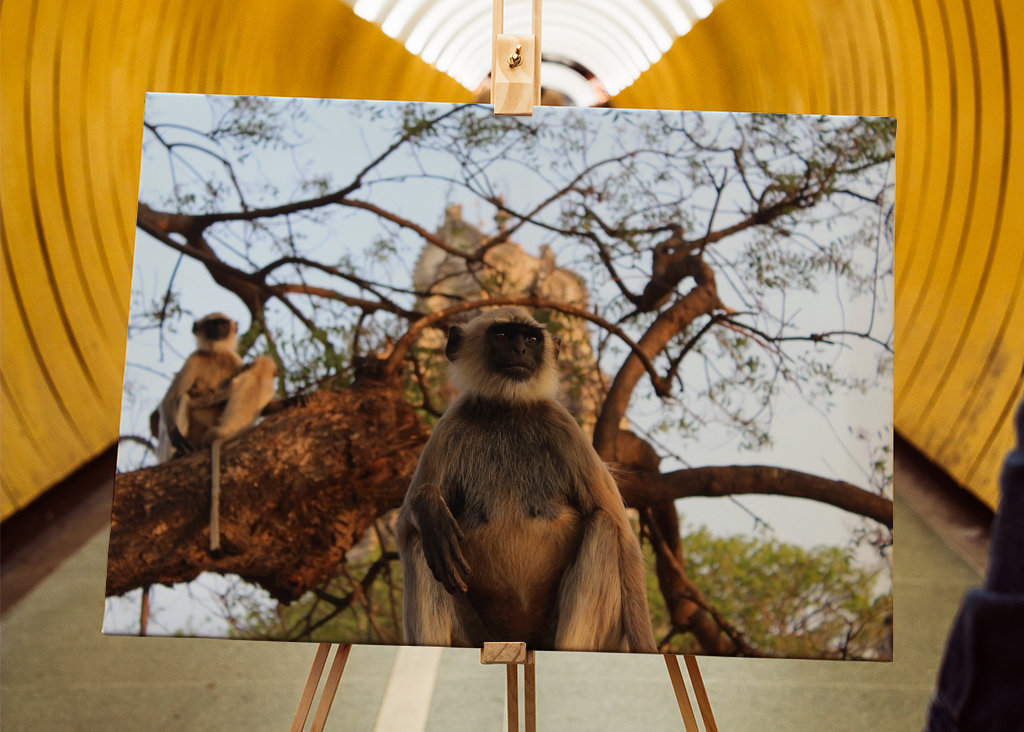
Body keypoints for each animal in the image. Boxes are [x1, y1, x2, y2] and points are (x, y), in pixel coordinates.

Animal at [156, 312, 276, 551]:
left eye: (223, 324)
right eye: (212, 324)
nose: (219, 329)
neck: (215, 354)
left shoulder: (233, 360)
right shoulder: (194, 360)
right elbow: (169, 399)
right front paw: (176, 438)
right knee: (182, 398)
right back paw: (178, 453)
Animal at [397, 307, 657, 653]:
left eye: (532, 339)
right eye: (502, 335)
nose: (520, 350)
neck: (508, 411)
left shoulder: (564, 428)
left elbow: (624, 539)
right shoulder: (449, 427)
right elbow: (403, 527)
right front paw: (427, 503)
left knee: (603, 525)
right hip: (476, 638)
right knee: (421, 539)